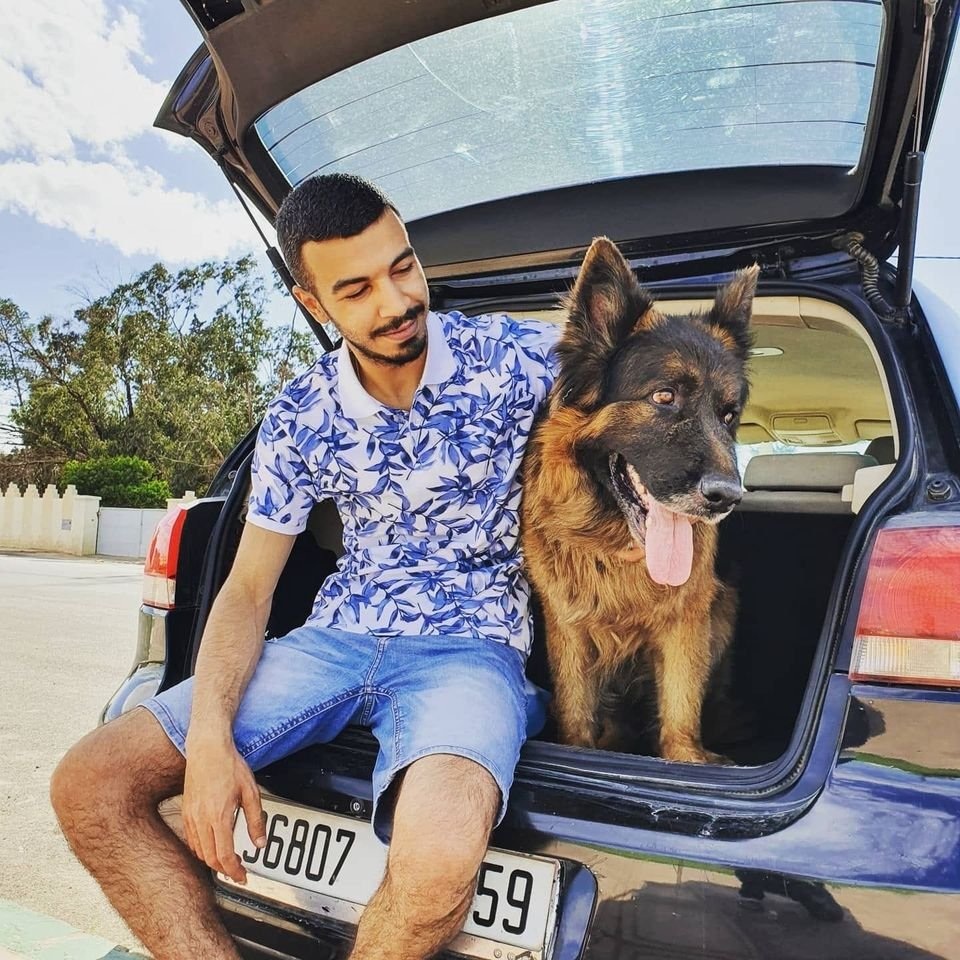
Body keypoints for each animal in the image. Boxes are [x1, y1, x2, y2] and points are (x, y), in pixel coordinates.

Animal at [521, 237, 757, 763]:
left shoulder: (687, 622)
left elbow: (680, 715)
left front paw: (689, 760)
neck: (620, 548)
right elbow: (576, 714)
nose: (727, 497)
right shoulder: (567, 626)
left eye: (728, 414)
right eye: (664, 397)